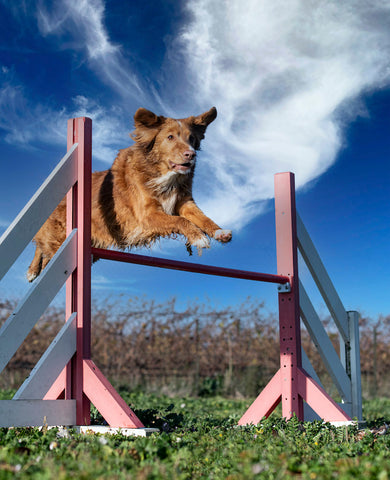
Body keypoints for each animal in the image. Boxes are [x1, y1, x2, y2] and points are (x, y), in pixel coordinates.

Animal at [27, 106, 232, 282]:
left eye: (192, 139)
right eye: (170, 137)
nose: (191, 154)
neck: (164, 175)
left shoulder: (184, 203)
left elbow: (200, 217)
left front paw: (218, 232)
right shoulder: (147, 215)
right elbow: (181, 221)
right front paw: (198, 237)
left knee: (46, 253)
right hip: (59, 238)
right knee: (41, 246)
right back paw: (32, 271)